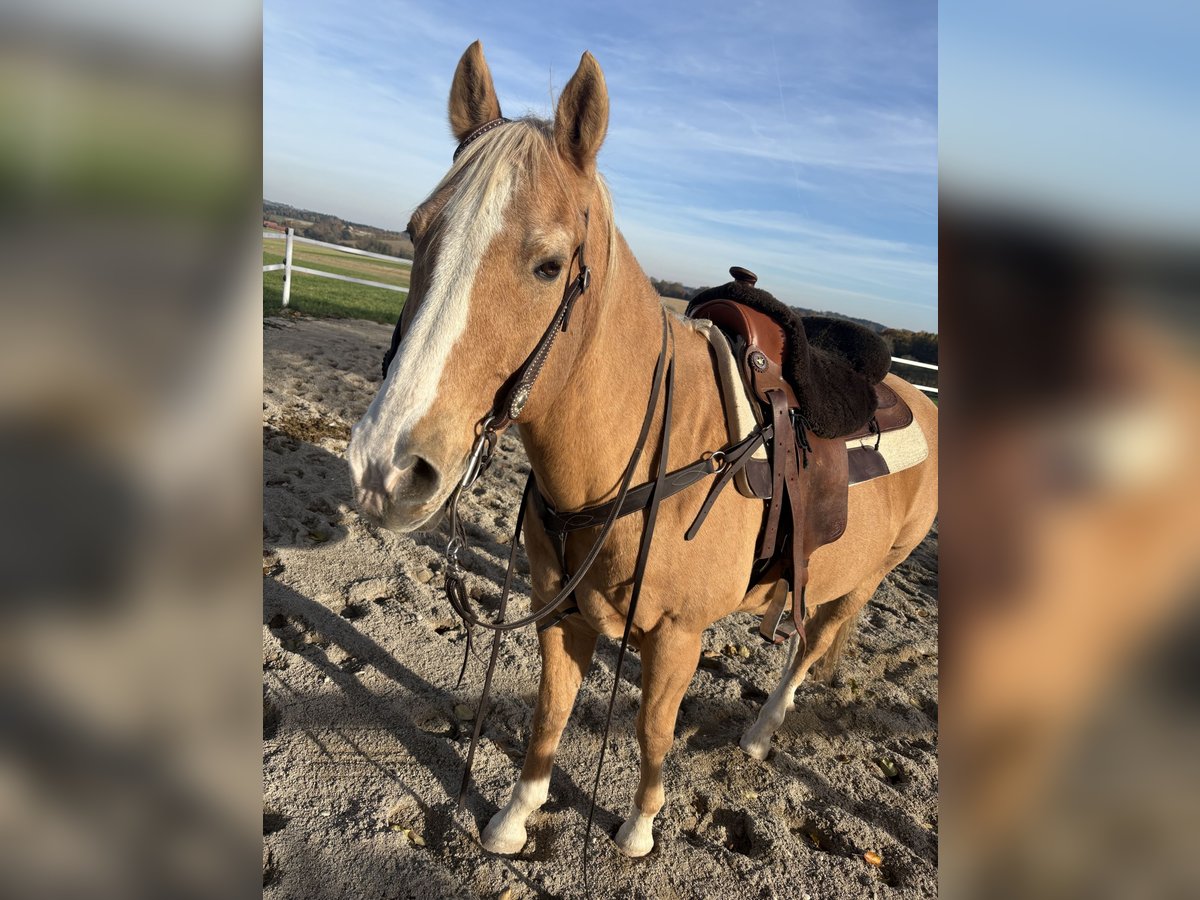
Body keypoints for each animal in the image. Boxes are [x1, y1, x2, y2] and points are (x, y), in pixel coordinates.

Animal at [348, 41, 938, 860]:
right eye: (415, 233)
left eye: (549, 265)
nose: (386, 468)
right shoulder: (560, 612)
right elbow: (549, 715)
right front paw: (514, 817)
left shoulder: (679, 635)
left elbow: (653, 729)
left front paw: (639, 825)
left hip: (859, 581)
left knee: (808, 650)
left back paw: (761, 735)